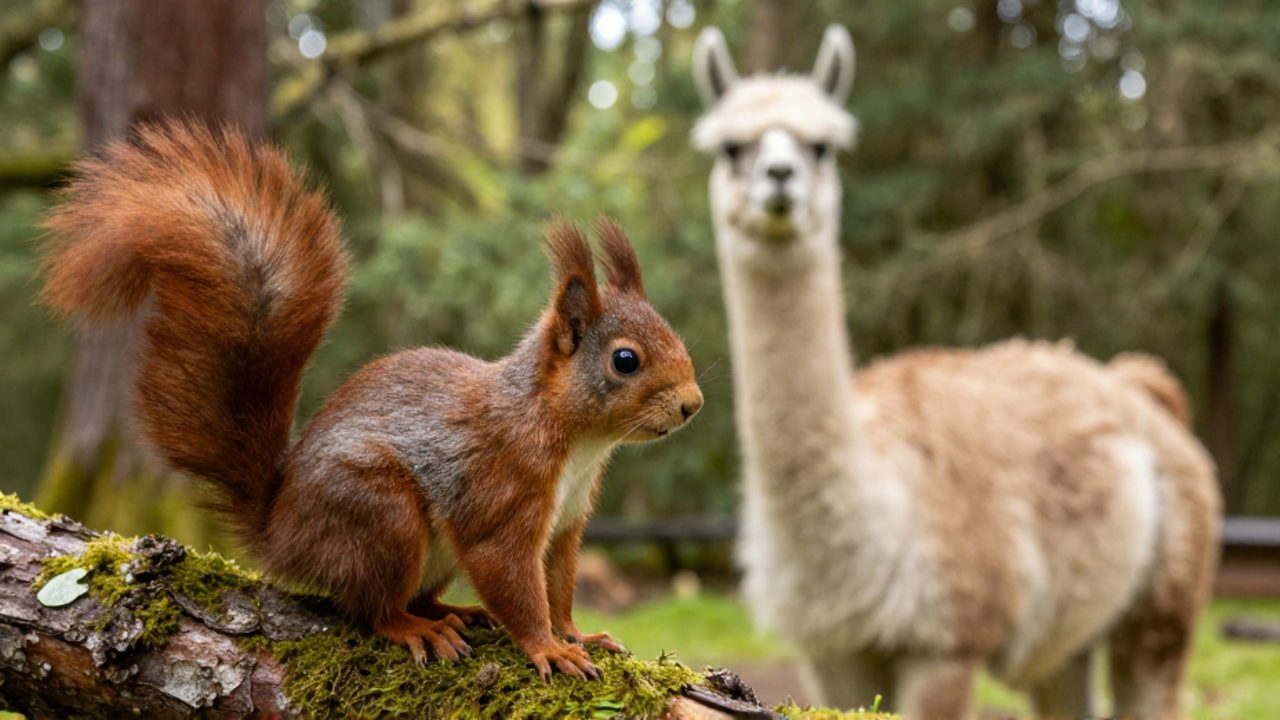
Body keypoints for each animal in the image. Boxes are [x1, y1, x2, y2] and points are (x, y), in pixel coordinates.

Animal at [40, 121, 703, 679]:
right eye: (625, 360)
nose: (693, 404)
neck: (572, 436)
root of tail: (280, 533)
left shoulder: (567, 524)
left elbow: (560, 583)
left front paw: (577, 635)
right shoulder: (499, 493)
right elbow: (512, 579)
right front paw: (547, 648)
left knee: (414, 595)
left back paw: (455, 612)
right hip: (379, 514)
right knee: (372, 607)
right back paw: (417, 629)